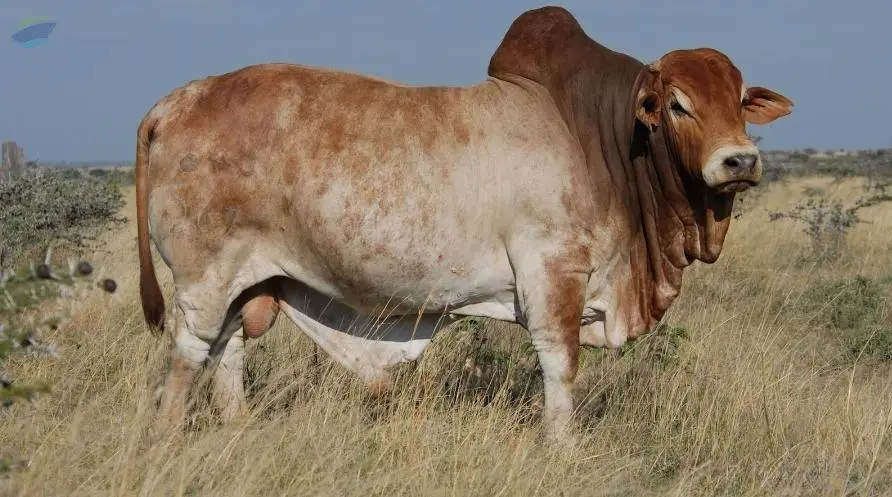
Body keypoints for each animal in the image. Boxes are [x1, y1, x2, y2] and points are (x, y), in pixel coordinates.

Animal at [135, 5, 792, 442]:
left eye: (740, 101)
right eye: (678, 104)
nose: (739, 161)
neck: (599, 137)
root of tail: (174, 103)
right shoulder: (553, 274)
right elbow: (561, 366)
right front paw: (560, 447)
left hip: (244, 283)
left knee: (229, 349)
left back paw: (236, 425)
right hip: (205, 276)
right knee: (190, 354)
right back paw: (167, 437)